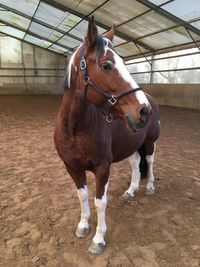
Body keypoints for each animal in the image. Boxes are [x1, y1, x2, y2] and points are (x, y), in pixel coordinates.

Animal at [54, 16, 160, 255]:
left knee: (149, 161)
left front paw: (98, 239)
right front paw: (83, 226)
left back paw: (149, 187)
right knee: (136, 163)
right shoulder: (72, 167)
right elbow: (82, 195)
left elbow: (100, 201)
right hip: (131, 145)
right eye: (106, 65)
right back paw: (131, 190)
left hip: (150, 142)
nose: (143, 111)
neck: (76, 130)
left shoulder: (103, 167)